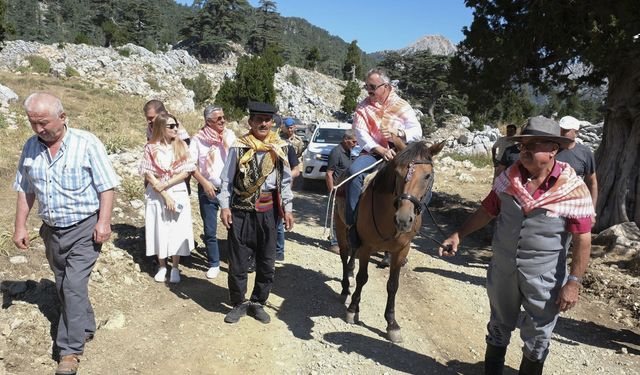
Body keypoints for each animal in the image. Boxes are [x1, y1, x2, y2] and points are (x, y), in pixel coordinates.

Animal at [332, 140, 442, 344]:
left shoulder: (401, 251)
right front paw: (353, 309)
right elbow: (362, 278)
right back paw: (345, 289)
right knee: (344, 256)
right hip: (341, 226)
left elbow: (393, 285)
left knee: (351, 255)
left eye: (427, 175)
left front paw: (392, 324)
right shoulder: (367, 247)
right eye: (398, 173)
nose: (403, 219)